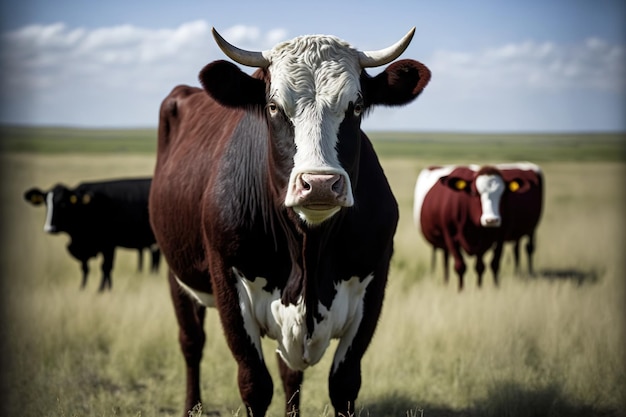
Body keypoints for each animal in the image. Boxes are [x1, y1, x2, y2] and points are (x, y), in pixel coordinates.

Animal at [23, 177, 161, 290]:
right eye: (46, 203)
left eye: (63, 203)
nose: (49, 228)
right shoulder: (84, 248)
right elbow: (85, 269)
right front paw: (83, 288)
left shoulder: (108, 245)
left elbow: (105, 267)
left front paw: (102, 290)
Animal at [148, 27, 428, 414]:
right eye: (273, 107)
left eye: (355, 106)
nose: (320, 184)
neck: (308, 252)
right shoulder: (227, 281)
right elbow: (254, 384)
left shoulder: (374, 283)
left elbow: (343, 383)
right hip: (177, 273)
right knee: (191, 342)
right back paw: (192, 406)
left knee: (289, 373)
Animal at [412, 162, 540, 290]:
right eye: (474, 193)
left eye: (503, 194)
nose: (491, 220)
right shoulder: (450, 235)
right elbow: (460, 265)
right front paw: (461, 290)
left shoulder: (497, 237)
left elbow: (487, 265)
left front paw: (485, 288)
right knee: (446, 259)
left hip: (531, 230)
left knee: (528, 248)